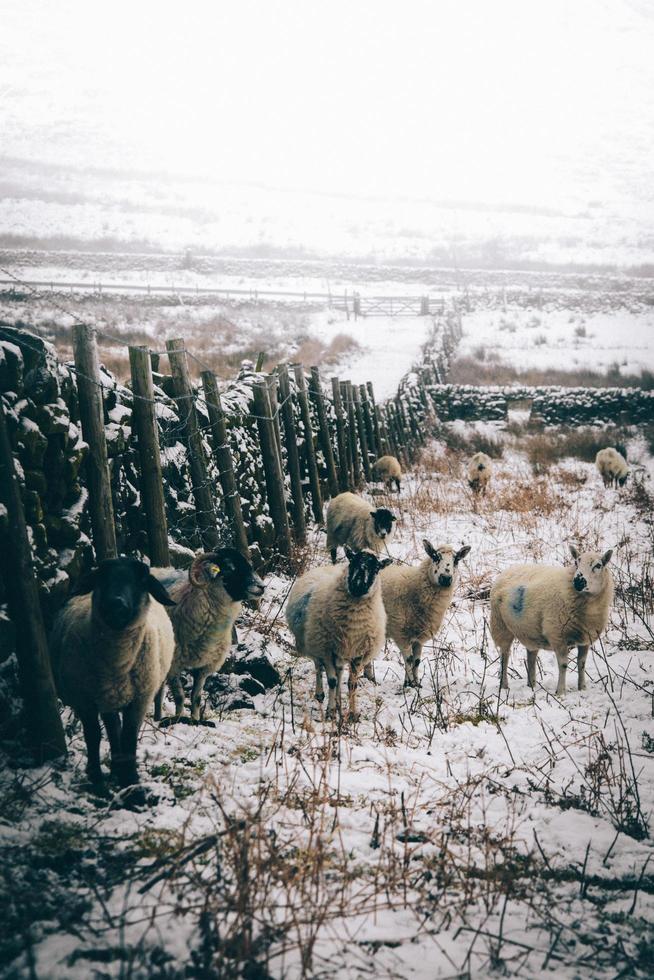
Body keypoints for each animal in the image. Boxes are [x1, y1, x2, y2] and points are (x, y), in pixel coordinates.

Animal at [50, 556, 177, 808]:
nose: (116, 604)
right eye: (102, 577)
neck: (117, 662)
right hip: (105, 699)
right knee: (109, 727)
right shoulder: (85, 701)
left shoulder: (140, 700)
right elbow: (93, 737)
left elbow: (128, 737)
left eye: (141, 581)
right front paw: (97, 780)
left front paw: (131, 782)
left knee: (114, 728)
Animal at [152, 548, 266, 724]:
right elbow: (179, 696)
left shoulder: (204, 667)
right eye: (230, 567)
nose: (261, 587)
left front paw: (195, 720)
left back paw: (157, 718)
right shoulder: (174, 664)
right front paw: (178, 719)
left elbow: (196, 697)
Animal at [286, 548, 390, 724]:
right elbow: (332, 681)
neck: (353, 625)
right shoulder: (327, 650)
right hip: (314, 642)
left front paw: (353, 714)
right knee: (318, 667)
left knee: (339, 671)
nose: (358, 586)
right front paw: (330, 712)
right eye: (352, 561)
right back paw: (321, 695)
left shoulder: (358, 654)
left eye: (376, 568)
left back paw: (339, 700)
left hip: (340, 651)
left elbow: (352, 684)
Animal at [380, 536, 472, 688]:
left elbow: (416, 661)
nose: (446, 578)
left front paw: (415, 683)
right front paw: (410, 685)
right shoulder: (400, 633)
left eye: (456, 560)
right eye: (435, 557)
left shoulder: (419, 636)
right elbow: (409, 660)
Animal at [492, 544, 616, 696]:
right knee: (505, 656)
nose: (578, 581)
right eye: (576, 562)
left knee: (531, 655)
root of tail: (508, 569)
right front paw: (560, 692)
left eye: (598, 565)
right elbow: (563, 665)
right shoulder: (557, 635)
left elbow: (582, 663)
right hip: (501, 626)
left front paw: (582, 688)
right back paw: (504, 686)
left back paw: (531, 684)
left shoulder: (585, 639)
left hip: (529, 630)